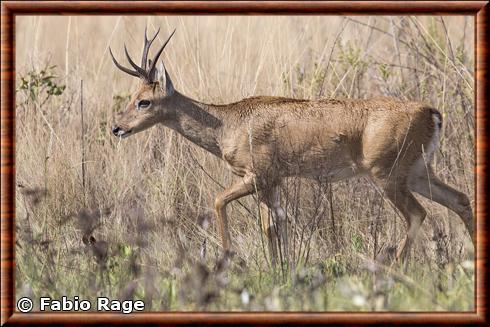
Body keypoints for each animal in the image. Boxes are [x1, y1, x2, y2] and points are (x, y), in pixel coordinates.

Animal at [109, 28, 472, 268]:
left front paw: (229, 260)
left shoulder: (257, 176)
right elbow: (273, 227)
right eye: (132, 96)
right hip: (418, 171)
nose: (117, 127)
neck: (227, 124)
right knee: (460, 199)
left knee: (418, 213)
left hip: (388, 174)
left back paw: (395, 268)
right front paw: (278, 271)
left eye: (144, 101)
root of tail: (431, 112)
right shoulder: (273, 183)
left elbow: (218, 201)